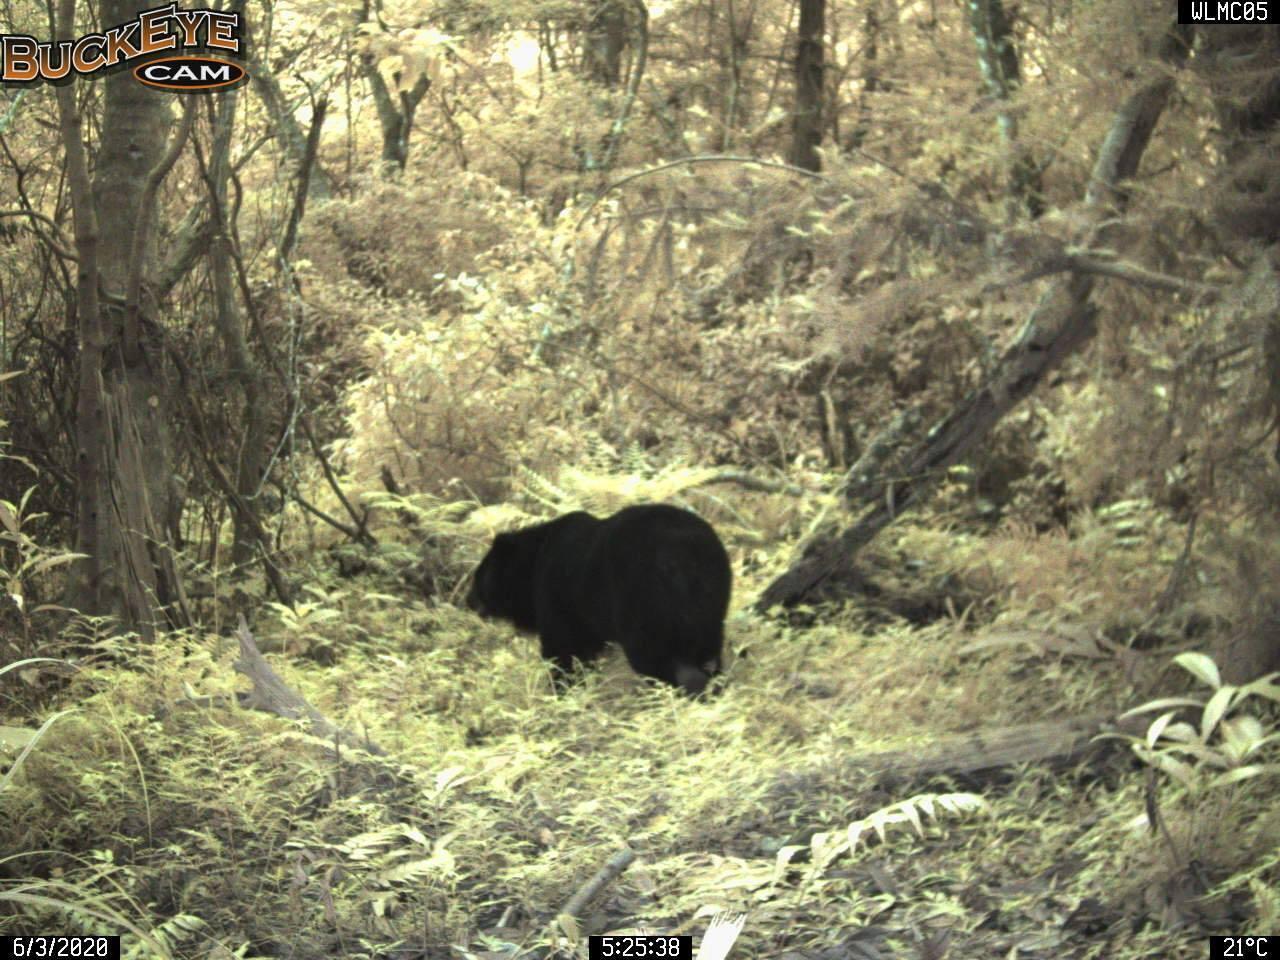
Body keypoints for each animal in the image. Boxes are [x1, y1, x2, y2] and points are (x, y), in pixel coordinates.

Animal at [466, 504, 731, 695]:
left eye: (477, 578)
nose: (468, 602)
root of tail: (685, 556)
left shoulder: (558, 598)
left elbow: (562, 651)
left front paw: (561, 693)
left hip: (644, 602)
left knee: (654, 657)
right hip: (711, 600)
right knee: (708, 649)